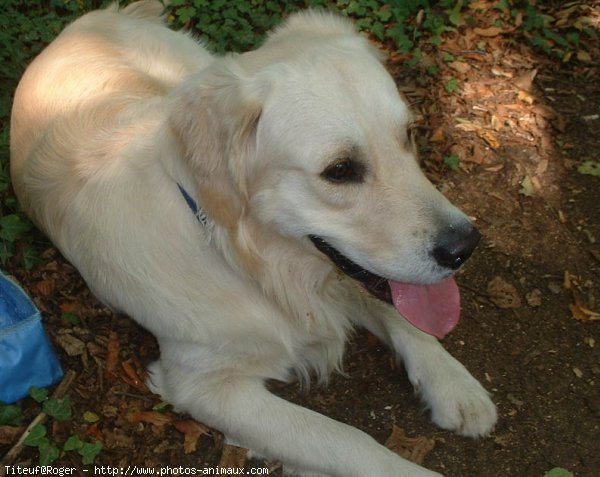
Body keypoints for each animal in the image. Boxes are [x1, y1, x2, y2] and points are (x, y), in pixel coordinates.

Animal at [10, 1, 496, 474]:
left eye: (408, 135)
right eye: (340, 170)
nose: (465, 247)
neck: (254, 263)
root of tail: (90, 21)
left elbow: (397, 311)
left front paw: (455, 384)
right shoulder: (203, 384)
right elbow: (346, 441)